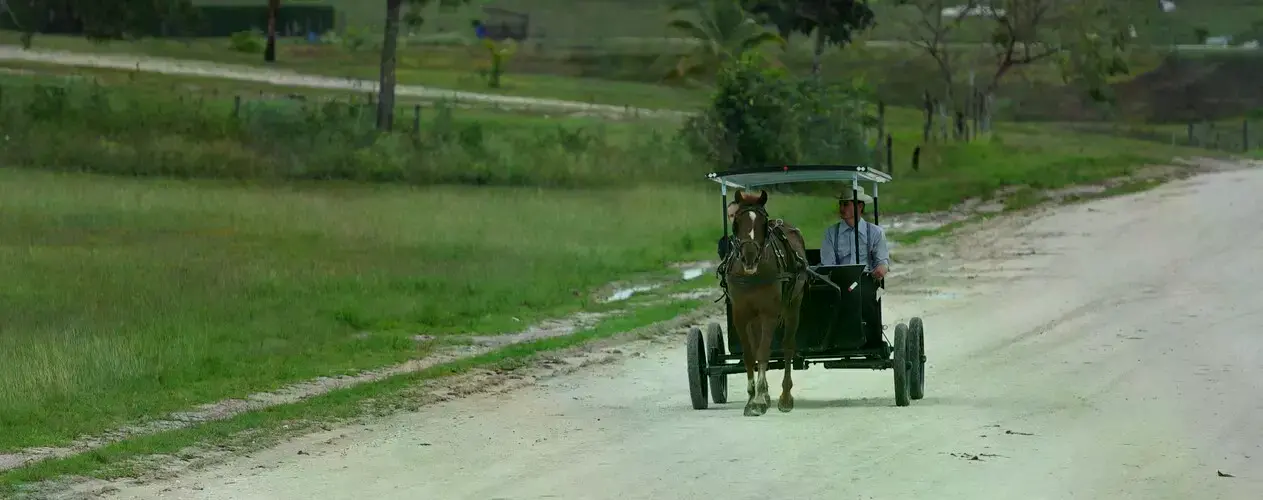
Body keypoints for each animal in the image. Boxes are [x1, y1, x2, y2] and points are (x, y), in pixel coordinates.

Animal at [721, 189, 809, 416]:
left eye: (762, 223)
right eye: (737, 221)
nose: (749, 258)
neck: (752, 275)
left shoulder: (769, 313)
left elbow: (763, 352)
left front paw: (758, 400)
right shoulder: (740, 315)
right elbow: (749, 354)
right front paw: (753, 396)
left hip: (793, 307)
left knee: (787, 346)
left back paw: (785, 397)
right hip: (755, 318)